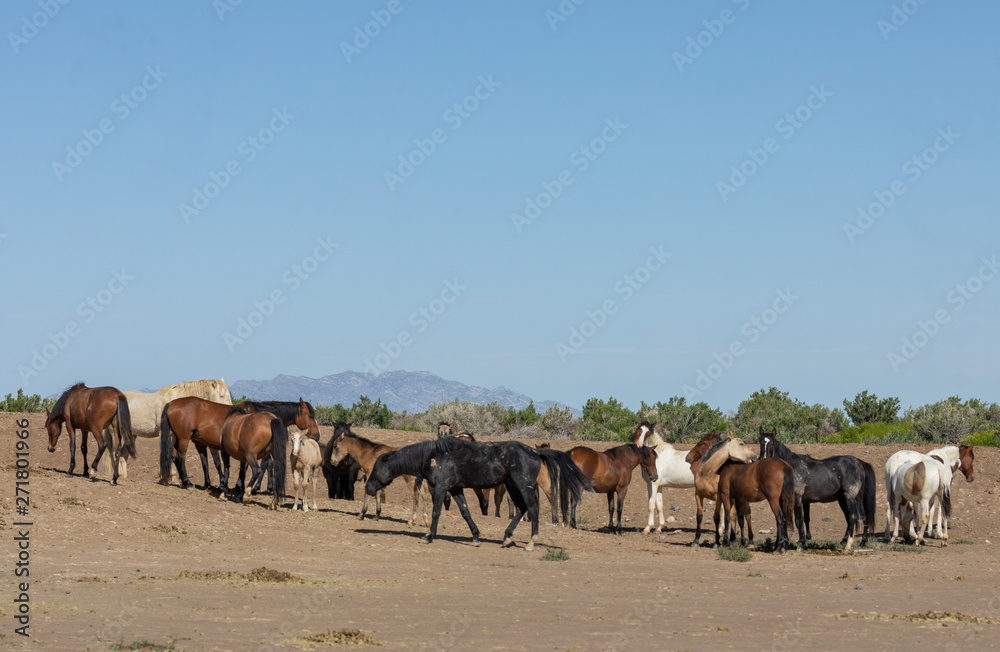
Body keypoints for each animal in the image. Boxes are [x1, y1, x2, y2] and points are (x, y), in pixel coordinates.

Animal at [366, 438, 591, 549]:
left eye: (376, 469)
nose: (367, 488)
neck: (434, 455)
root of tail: (536, 452)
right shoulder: (455, 489)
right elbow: (466, 513)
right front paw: (475, 537)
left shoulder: (440, 488)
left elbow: (436, 512)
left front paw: (428, 536)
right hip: (511, 486)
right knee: (521, 509)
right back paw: (507, 538)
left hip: (522, 487)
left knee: (532, 509)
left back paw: (531, 542)